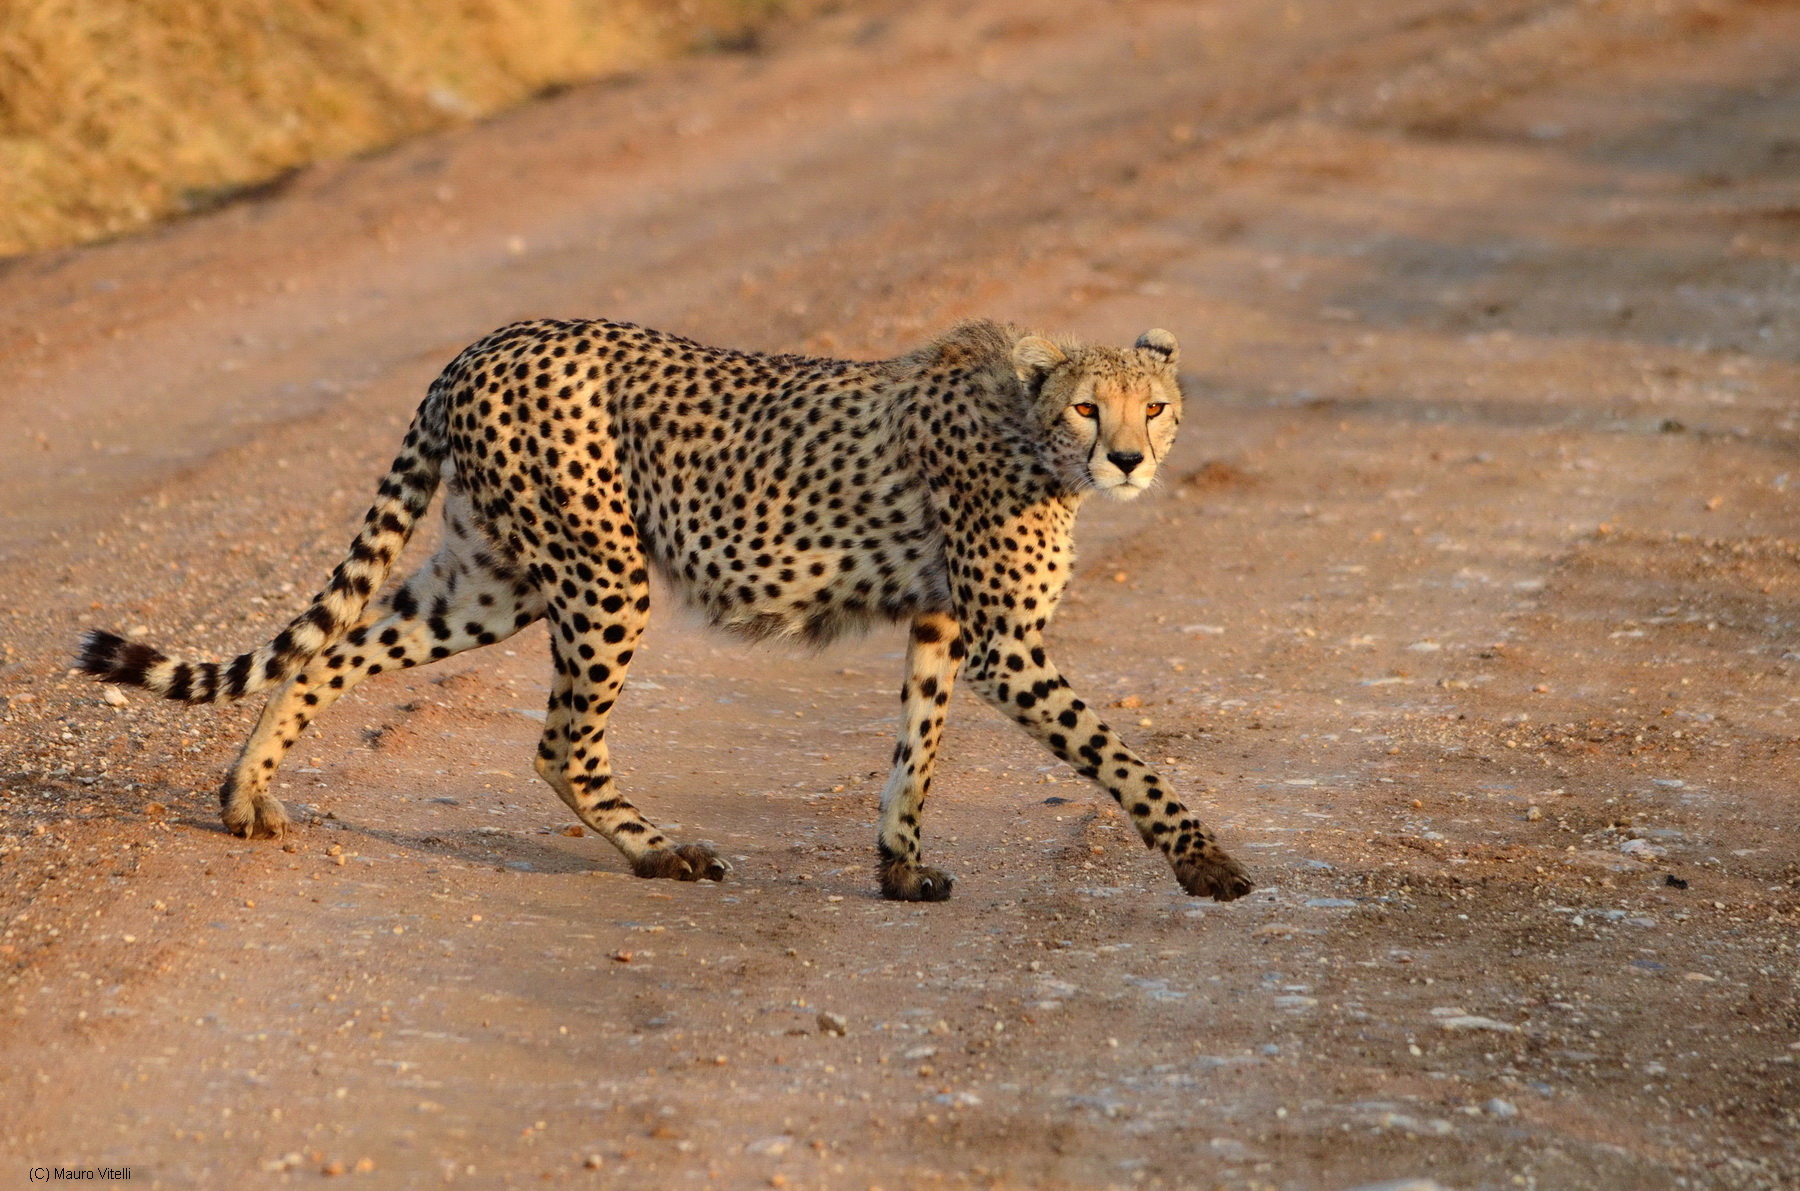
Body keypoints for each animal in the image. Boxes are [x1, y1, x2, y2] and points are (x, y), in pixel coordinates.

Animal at [77, 317, 1253, 903]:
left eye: (1156, 404)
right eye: (1090, 408)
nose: (1130, 458)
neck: (1025, 427)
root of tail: (490, 338)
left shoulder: (945, 625)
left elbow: (916, 747)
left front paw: (899, 865)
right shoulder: (1007, 643)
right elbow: (1118, 753)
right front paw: (1206, 862)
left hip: (489, 579)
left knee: (330, 655)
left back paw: (244, 794)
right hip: (604, 572)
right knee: (561, 744)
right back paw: (658, 854)